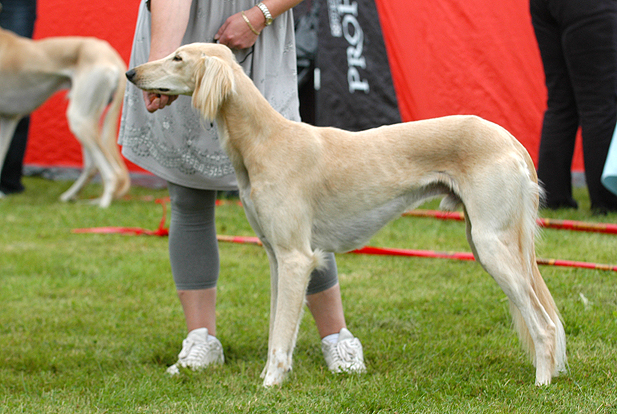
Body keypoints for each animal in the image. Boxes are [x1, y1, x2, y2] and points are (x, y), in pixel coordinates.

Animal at [0, 26, 128, 206]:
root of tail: (112, 56)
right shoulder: (8, 118)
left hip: (79, 119)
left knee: (112, 172)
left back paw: (103, 204)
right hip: (87, 119)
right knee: (92, 166)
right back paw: (72, 196)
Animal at [126, 42, 568, 388]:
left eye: (178, 57)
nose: (132, 73)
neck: (265, 140)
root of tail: (509, 139)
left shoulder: (296, 258)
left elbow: (281, 334)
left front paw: (270, 385)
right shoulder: (276, 258)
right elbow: (276, 329)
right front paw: (272, 376)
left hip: (492, 244)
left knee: (545, 325)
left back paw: (542, 383)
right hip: (484, 240)